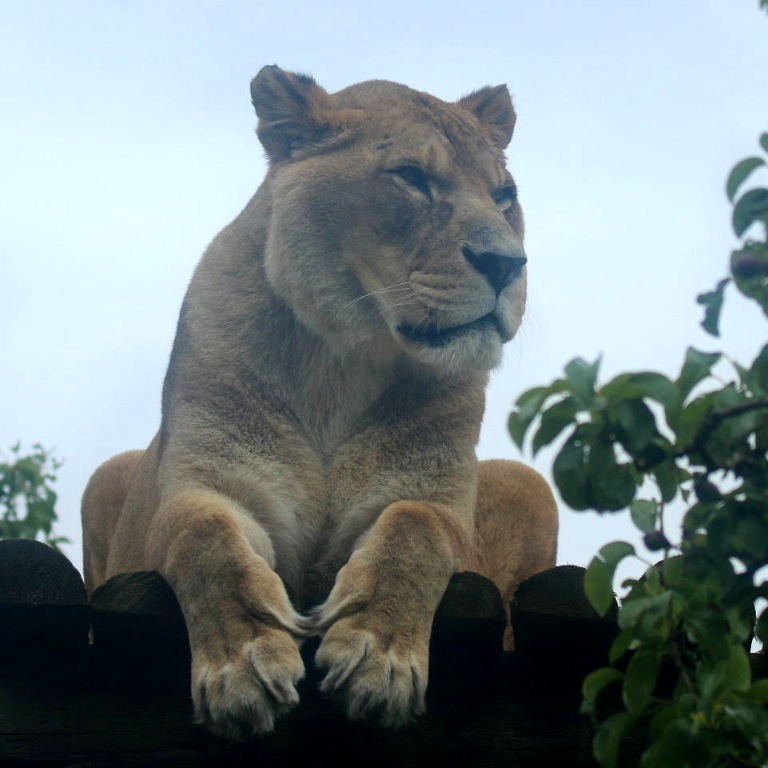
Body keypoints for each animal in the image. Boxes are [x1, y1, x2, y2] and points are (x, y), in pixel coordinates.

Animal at [81, 65, 558, 740]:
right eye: (411, 176)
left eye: (504, 196)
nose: (507, 264)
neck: (344, 358)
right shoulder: (204, 486)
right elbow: (207, 541)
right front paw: (245, 667)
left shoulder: (435, 502)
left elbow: (414, 533)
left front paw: (378, 659)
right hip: (107, 474)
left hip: (525, 482)